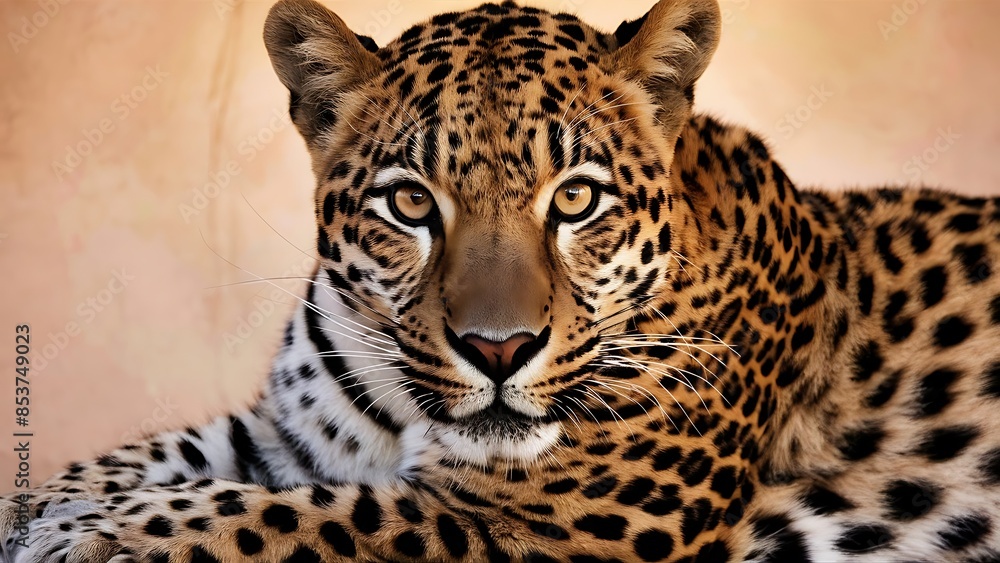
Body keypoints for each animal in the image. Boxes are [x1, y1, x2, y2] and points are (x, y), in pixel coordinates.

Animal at [3, 0, 1000, 561]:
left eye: (578, 198)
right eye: (411, 201)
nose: (499, 349)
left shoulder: (559, 521)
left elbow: (289, 515)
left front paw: (91, 534)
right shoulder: (294, 433)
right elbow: (168, 452)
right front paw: (43, 506)